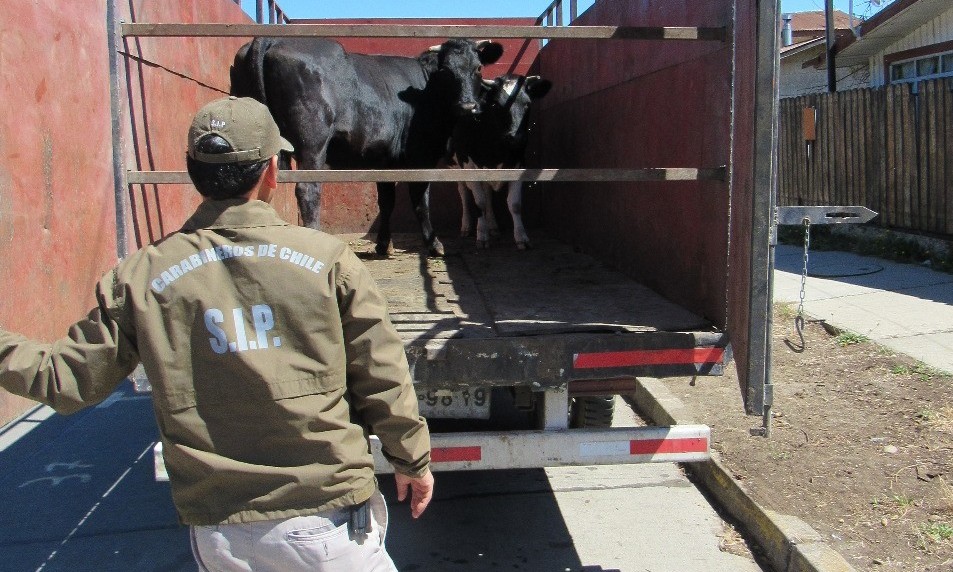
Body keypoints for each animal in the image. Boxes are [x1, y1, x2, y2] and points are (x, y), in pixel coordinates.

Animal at [229, 36, 506, 256]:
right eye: (447, 70)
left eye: (478, 68)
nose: (468, 106)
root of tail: (272, 39)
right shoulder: (420, 156)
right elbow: (420, 200)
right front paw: (434, 244)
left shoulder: (383, 160)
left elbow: (387, 201)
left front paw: (384, 244)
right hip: (312, 145)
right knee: (308, 191)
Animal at [448, 73, 552, 248]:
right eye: (496, 105)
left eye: (527, 104)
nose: (516, 137)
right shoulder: (469, 165)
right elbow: (479, 202)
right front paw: (482, 236)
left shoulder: (519, 164)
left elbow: (514, 204)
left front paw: (521, 237)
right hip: (454, 165)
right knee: (464, 193)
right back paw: (467, 227)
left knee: (488, 193)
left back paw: (493, 226)